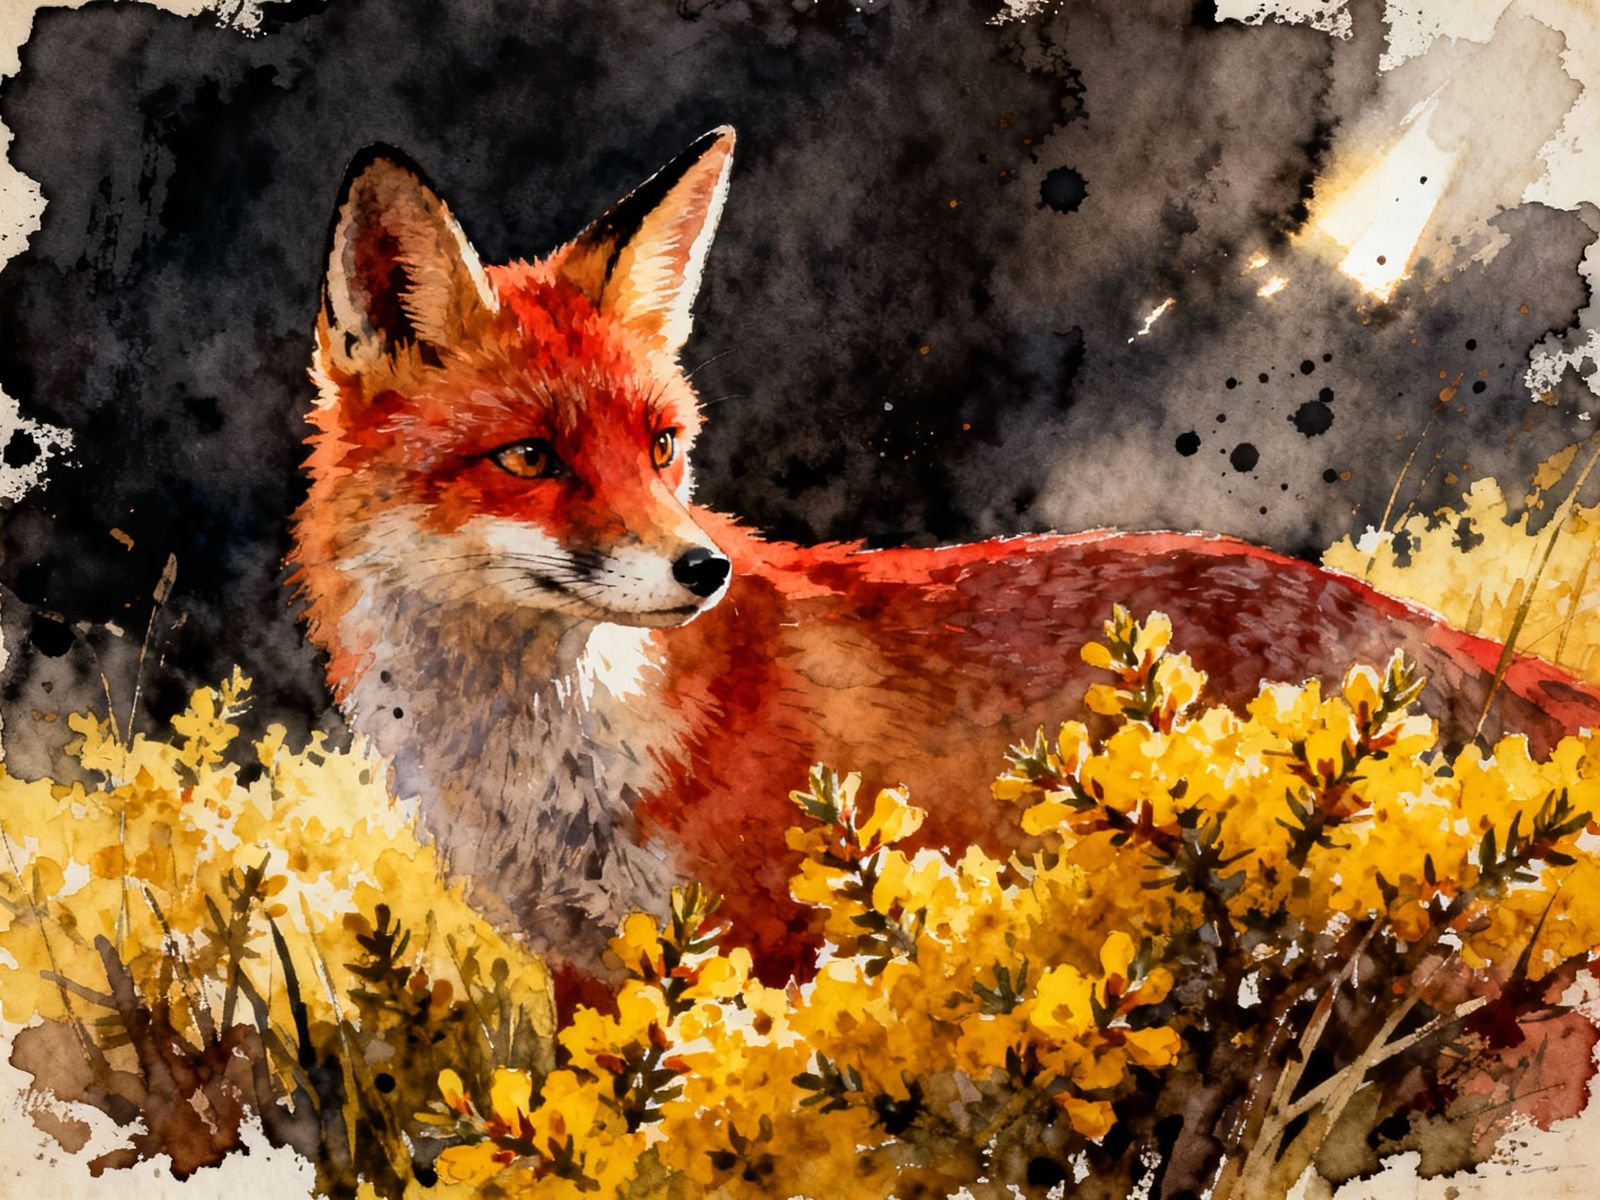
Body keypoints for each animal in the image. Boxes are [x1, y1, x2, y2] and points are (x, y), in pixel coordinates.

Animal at [291, 127, 1600, 996]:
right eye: (529, 455)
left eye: (662, 446)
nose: (704, 571)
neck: (552, 767)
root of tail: (1398, 624)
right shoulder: (587, 972)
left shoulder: (764, 945)